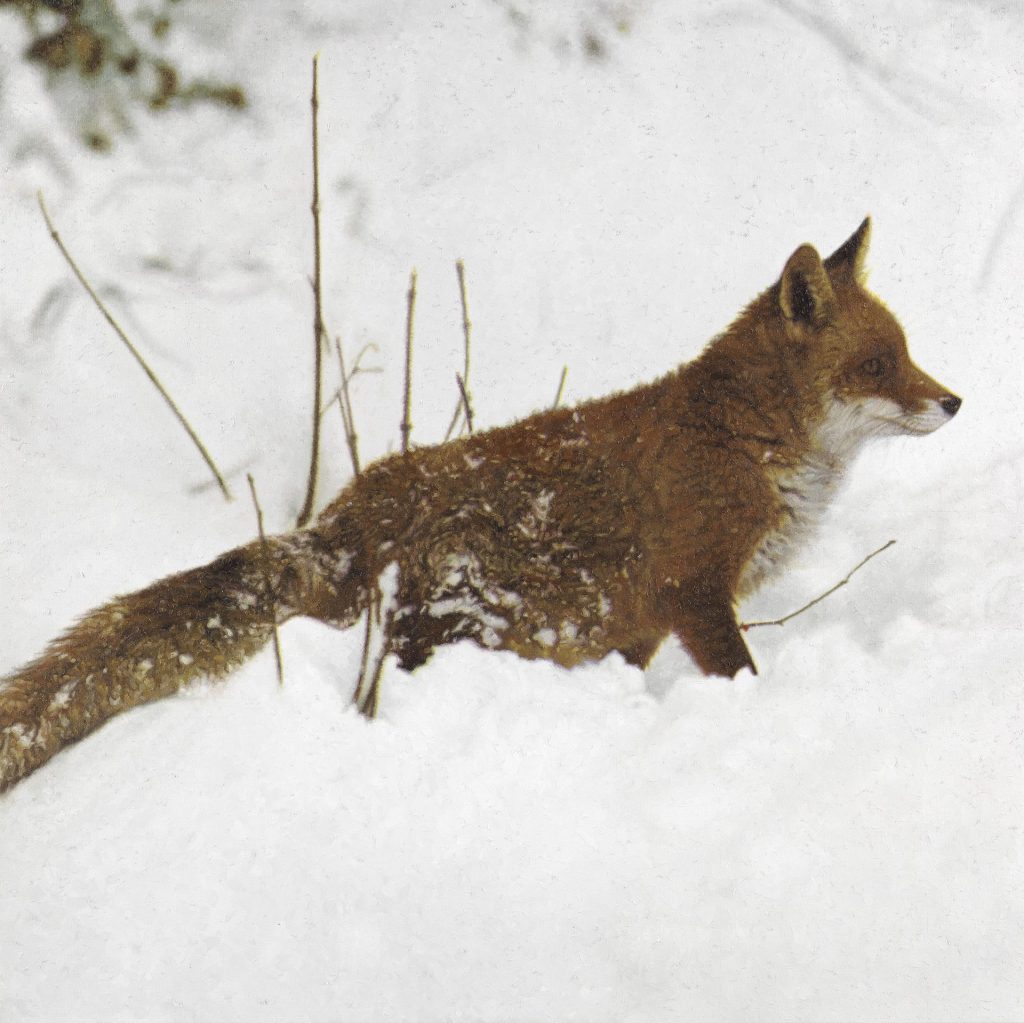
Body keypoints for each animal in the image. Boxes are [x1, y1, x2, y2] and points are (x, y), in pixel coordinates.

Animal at [0, 218, 961, 793]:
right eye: (878, 366)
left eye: (909, 354)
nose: (955, 402)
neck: (748, 441)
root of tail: (340, 522)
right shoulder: (693, 590)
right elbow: (742, 675)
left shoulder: (644, 619)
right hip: (469, 610)